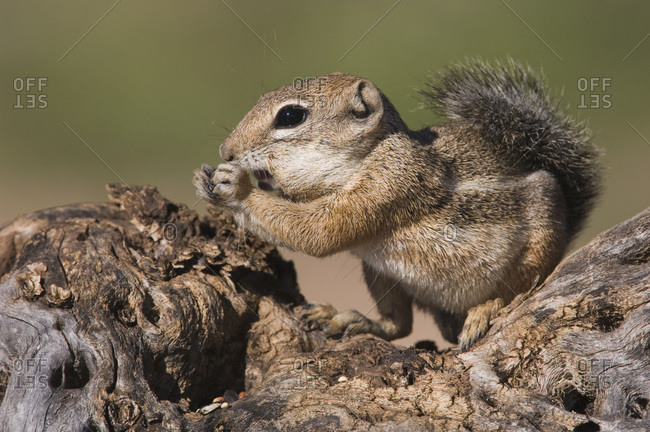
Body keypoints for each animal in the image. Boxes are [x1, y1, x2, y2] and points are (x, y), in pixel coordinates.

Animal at [193, 59, 602, 350]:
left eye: (291, 115)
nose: (226, 151)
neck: (368, 155)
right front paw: (203, 180)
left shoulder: (392, 181)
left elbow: (320, 232)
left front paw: (236, 186)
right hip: (383, 274)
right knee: (398, 325)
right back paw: (347, 319)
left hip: (538, 234)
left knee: (521, 287)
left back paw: (485, 310)